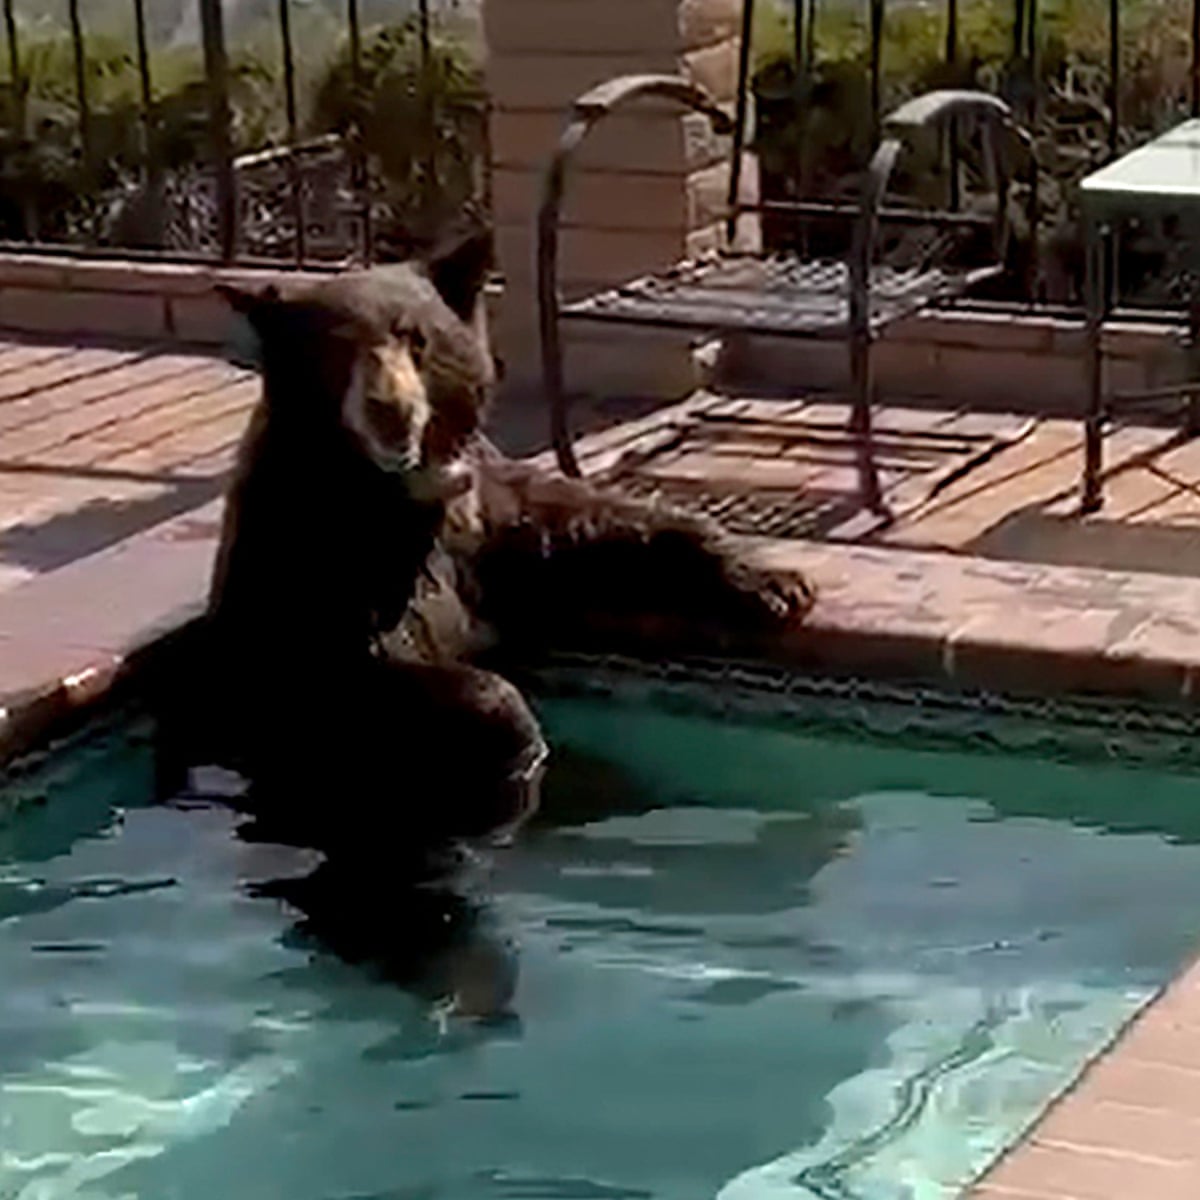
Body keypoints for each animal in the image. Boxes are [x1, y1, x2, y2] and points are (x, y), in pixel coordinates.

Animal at [184, 222, 813, 868]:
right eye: (335, 348)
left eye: (416, 338)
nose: (390, 409)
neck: (396, 491)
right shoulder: (307, 554)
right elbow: (345, 671)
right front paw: (515, 731)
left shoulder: (479, 516)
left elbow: (578, 527)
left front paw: (772, 583)